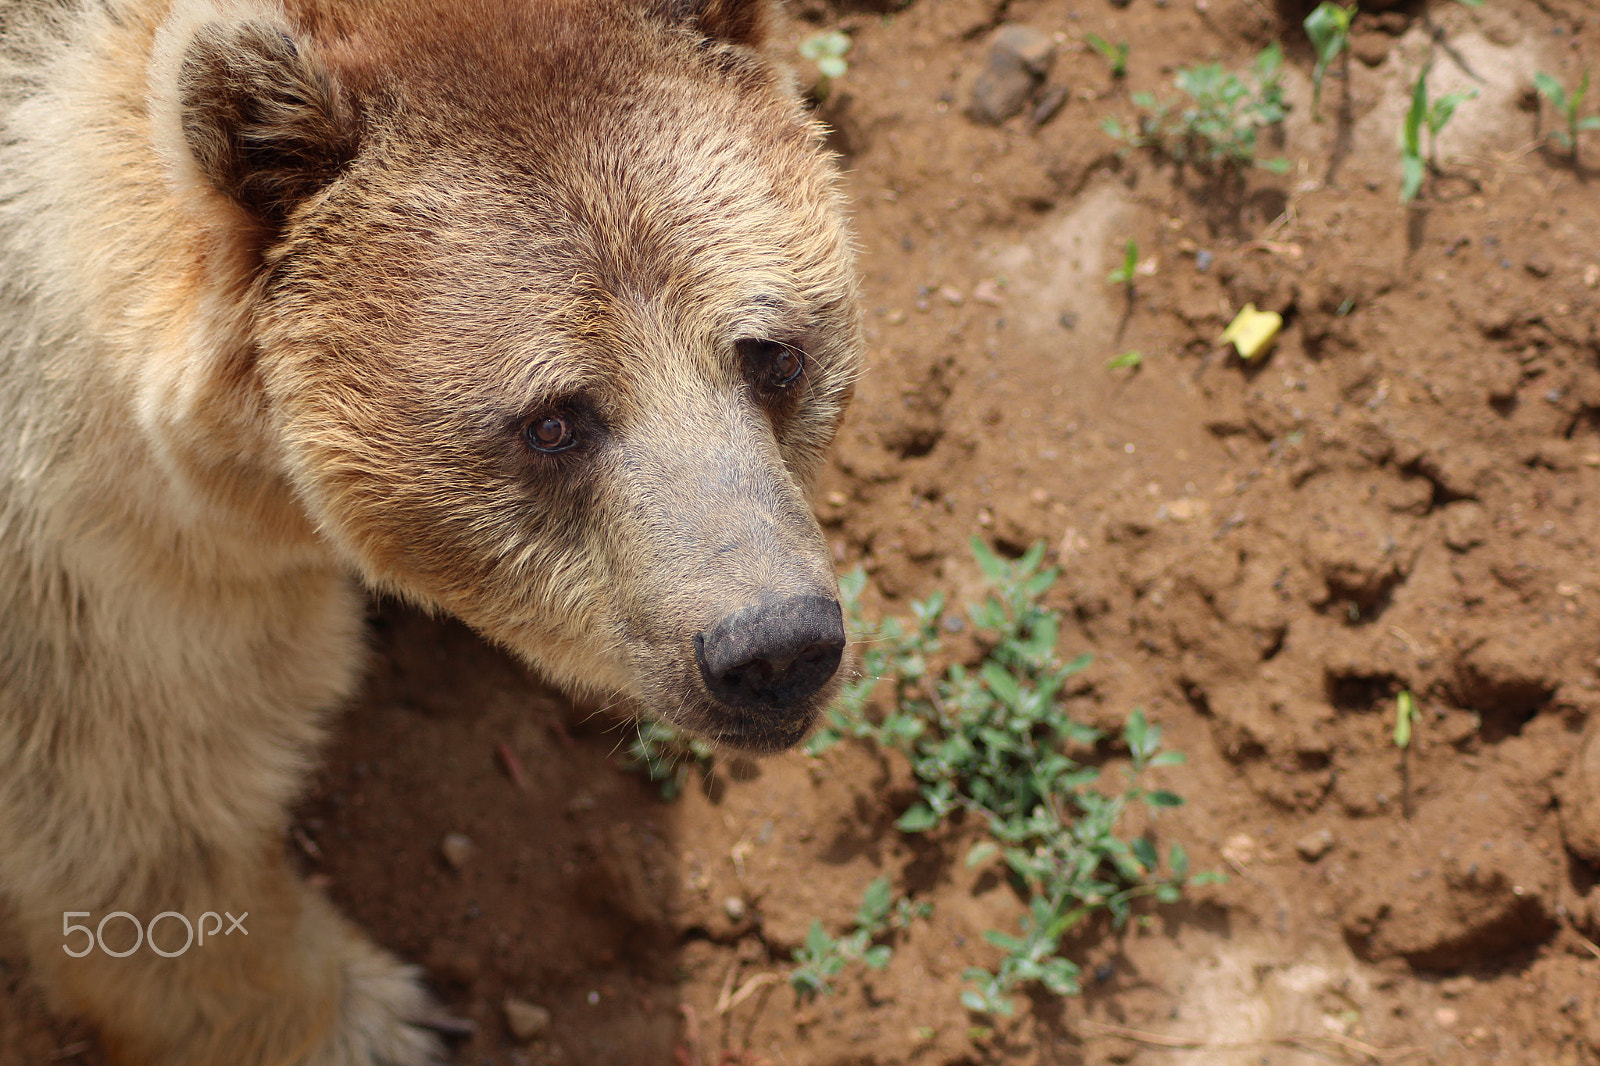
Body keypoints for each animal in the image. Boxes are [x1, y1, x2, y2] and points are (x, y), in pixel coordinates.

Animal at [0, 0, 862, 1062]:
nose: (776, 646)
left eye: (772, 354)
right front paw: (371, 1015)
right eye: (554, 420)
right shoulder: (95, 552)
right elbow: (139, 792)